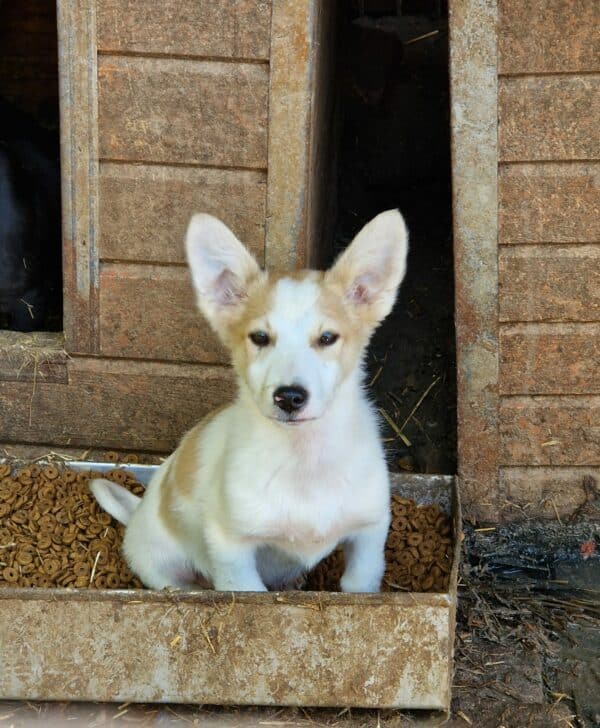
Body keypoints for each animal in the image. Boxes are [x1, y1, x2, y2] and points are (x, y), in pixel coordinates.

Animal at [90, 209, 408, 592]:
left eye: (328, 338)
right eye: (260, 337)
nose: (289, 397)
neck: (303, 458)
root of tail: (138, 512)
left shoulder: (369, 534)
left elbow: (359, 581)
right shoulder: (232, 549)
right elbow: (247, 589)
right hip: (163, 569)